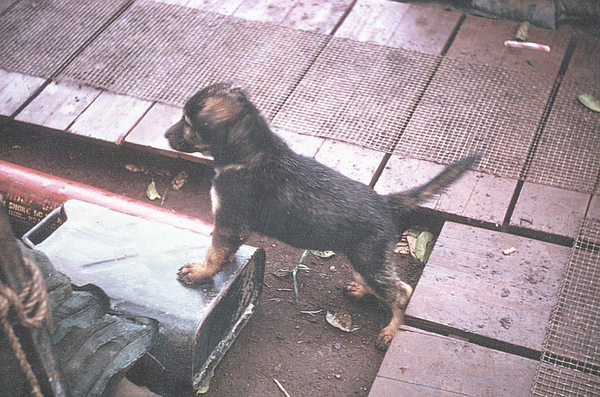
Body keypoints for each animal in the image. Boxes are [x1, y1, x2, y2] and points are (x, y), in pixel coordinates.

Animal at [166, 82, 480, 348]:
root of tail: (385, 202)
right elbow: (223, 252)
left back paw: (390, 332)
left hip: (369, 259)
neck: (252, 153)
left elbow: (213, 253)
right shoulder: (232, 226)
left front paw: (199, 272)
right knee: (390, 285)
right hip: (365, 259)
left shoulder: (230, 221)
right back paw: (361, 291)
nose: (165, 135)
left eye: (188, 124)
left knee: (401, 292)